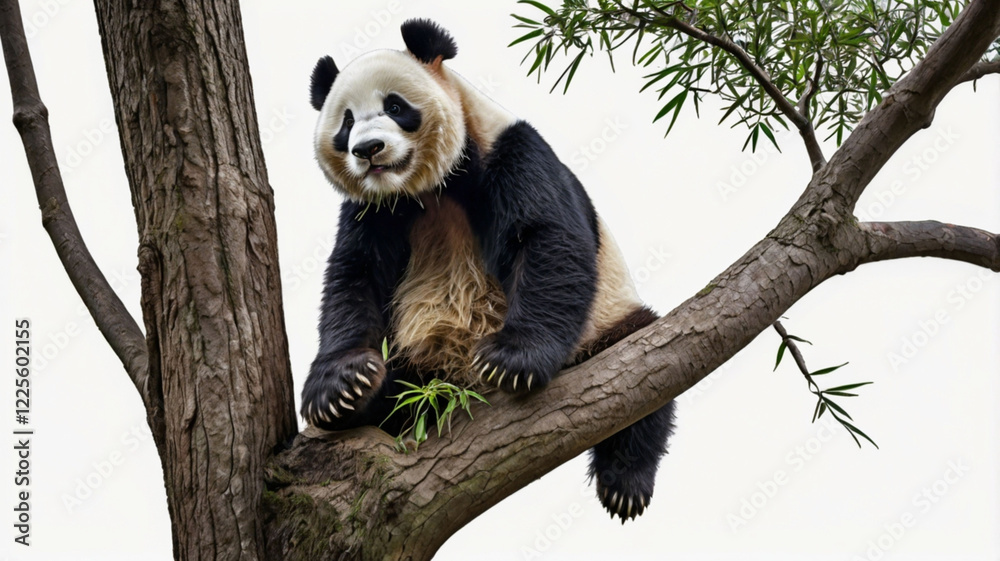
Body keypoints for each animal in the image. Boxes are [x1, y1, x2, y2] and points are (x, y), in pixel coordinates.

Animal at [302, 18, 676, 522]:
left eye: (394, 106)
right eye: (346, 122)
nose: (368, 149)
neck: (428, 189)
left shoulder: (510, 151)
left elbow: (544, 239)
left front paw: (511, 361)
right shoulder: (373, 211)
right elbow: (353, 276)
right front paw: (341, 386)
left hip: (604, 320)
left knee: (639, 363)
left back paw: (625, 481)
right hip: (419, 367)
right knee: (401, 390)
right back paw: (371, 399)